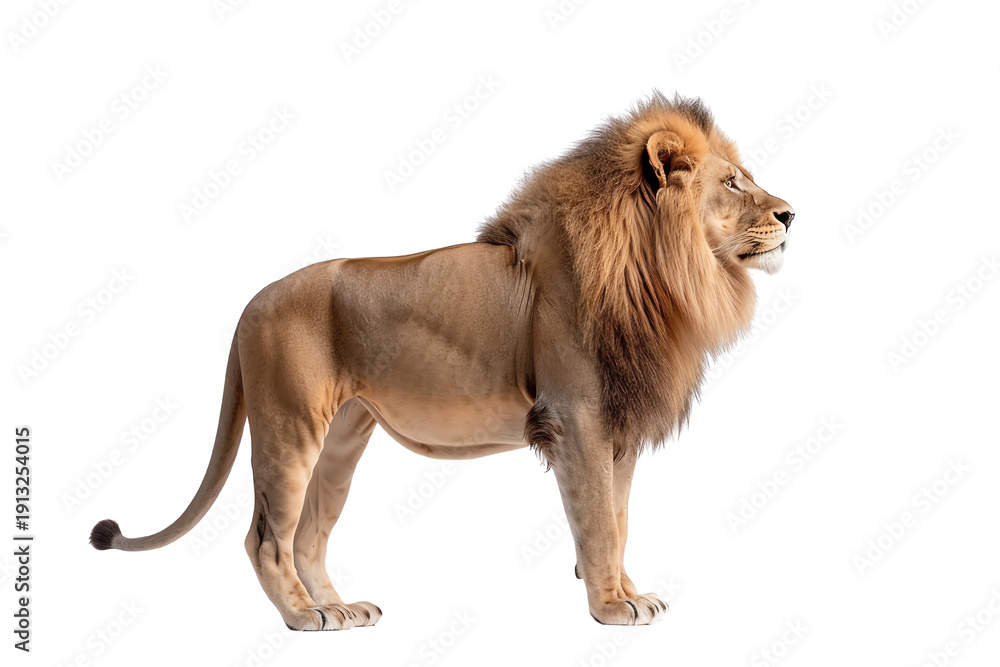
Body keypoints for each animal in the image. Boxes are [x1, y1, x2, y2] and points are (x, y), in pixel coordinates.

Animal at [90, 92, 794, 630]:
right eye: (732, 182)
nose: (791, 214)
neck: (662, 274)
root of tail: (250, 303)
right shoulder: (577, 419)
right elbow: (598, 522)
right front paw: (610, 610)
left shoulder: (617, 427)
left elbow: (618, 520)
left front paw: (630, 595)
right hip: (288, 424)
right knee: (266, 537)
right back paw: (304, 617)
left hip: (343, 434)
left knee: (309, 536)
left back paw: (342, 610)